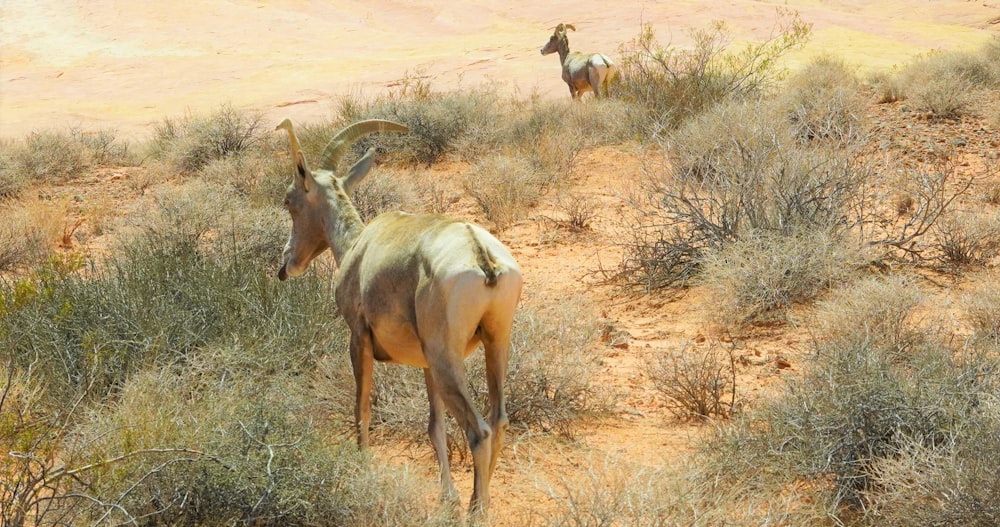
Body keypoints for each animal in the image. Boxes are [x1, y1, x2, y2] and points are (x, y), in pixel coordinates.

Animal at [274, 116, 524, 516]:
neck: (360, 245)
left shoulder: (358, 337)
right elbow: (435, 426)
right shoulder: (424, 364)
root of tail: (481, 255)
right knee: (498, 419)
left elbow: (361, 407)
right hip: (493, 343)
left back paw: (477, 510)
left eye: (288, 200)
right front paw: (447, 496)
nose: (286, 264)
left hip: (447, 358)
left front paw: (362, 469)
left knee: (479, 430)